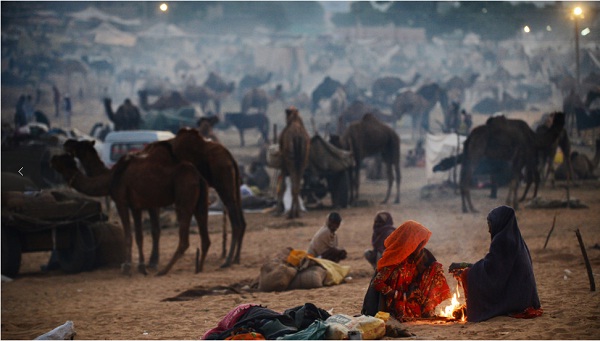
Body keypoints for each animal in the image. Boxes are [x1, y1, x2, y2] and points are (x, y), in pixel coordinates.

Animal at [51, 142, 211, 274]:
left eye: (63, 159)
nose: (53, 157)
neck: (110, 177)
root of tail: (198, 176)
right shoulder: (137, 206)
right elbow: (139, 236)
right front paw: (141, 266)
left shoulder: (122, 202)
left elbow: (128, 235)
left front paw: (127, 267)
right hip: (201, 201)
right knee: (205, 236)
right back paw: (199, 268)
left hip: (183, 197)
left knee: (184, 239)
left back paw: (164, 270)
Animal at [166, 127, 246, 266]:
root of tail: (231, 158)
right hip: (235, 182)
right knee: (241, 216)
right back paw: (236, 258)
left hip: (222, 177)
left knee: (235, 220)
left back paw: (228, 260)